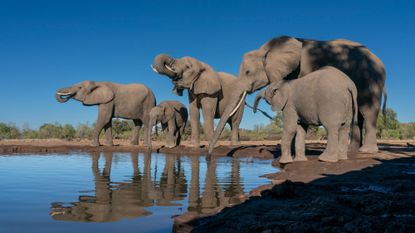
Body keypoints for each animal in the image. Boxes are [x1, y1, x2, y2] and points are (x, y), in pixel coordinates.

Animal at [210, 35, 388, 155]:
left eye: (248, 72)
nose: (209, 156)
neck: (268, 49)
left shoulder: (304, 68)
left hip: (371, 78)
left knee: (367, 111)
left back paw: (367, 151)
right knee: (357, 114)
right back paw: (352, 150)